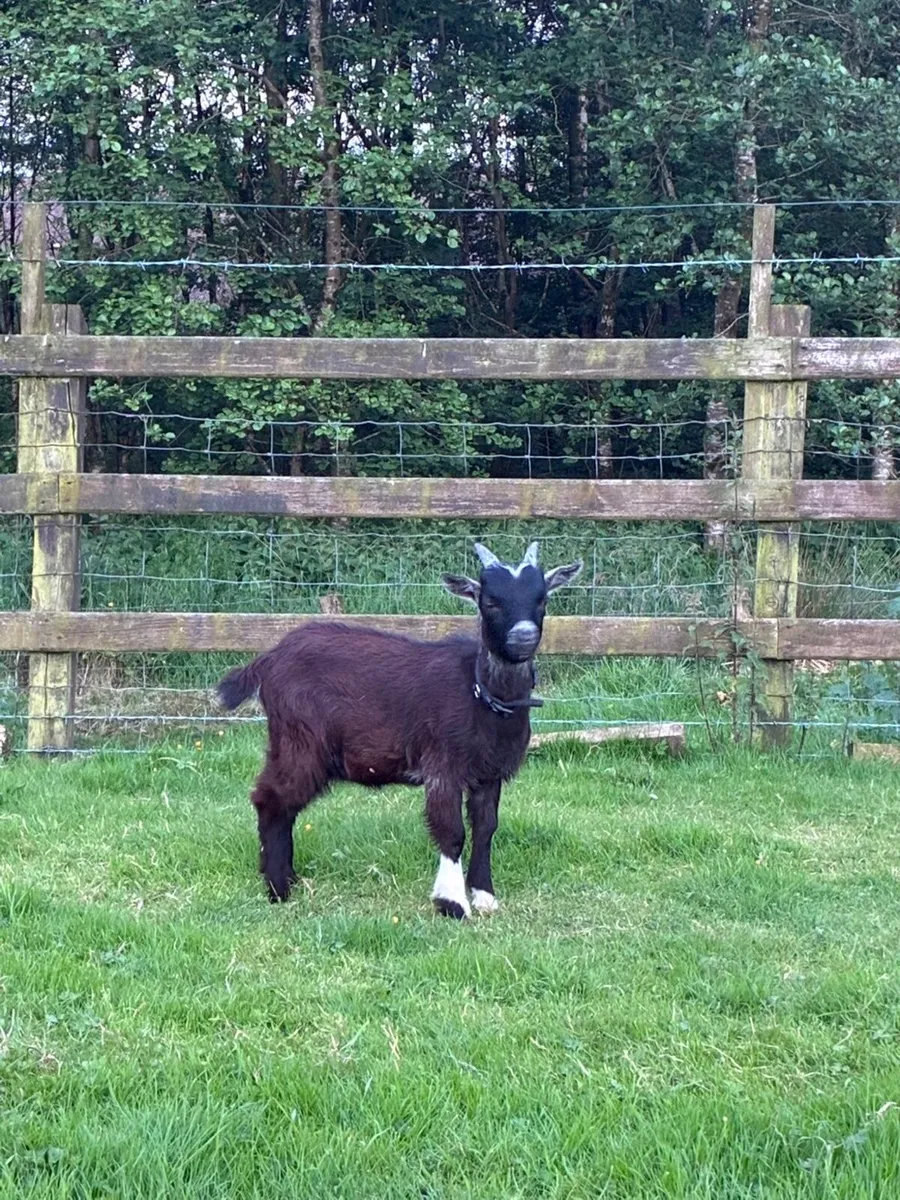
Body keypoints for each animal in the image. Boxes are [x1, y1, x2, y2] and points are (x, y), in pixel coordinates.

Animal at [217, 542, 582, 917]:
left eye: (541, 599)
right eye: (490, 601)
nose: (524, 636)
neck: (480, 692)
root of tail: (268, 659)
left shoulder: (489, 772)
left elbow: (486, 828)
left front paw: (484, 895)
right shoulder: (443, 767)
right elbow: (451, 832)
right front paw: (452, 903)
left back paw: (289, 878)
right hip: (299, 741)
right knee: (270, 798)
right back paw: (278, 888)